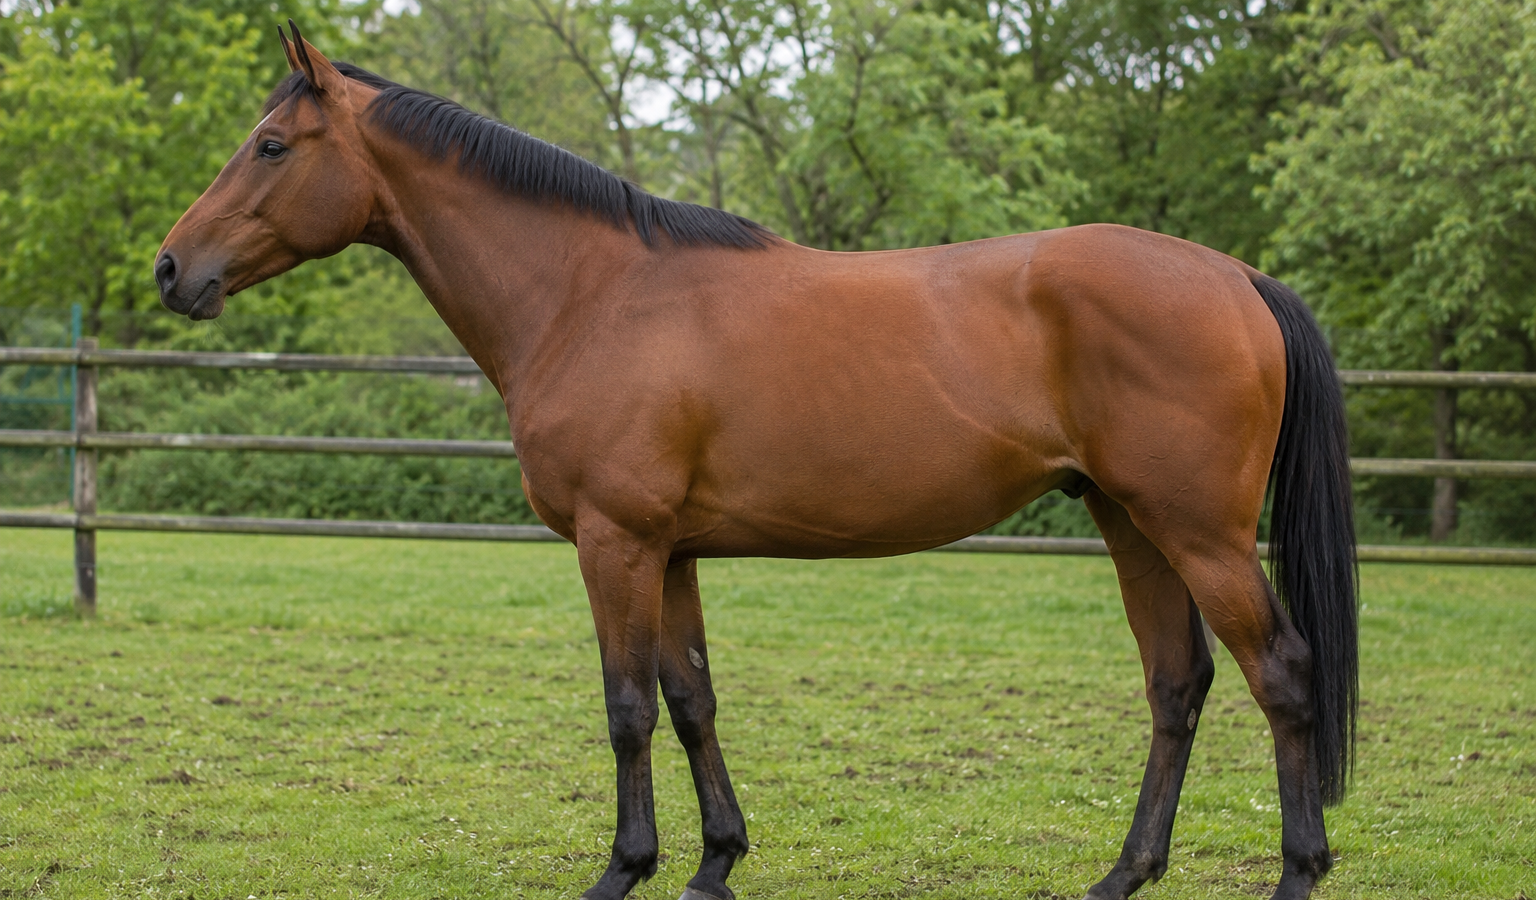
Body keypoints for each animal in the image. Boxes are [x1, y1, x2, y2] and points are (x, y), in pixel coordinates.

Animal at [154, 22, 1357, 900]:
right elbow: (692, 700)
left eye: (270, 146)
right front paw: (713, 866)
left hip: (1198, 532)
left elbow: (627, 708)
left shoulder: (615, 543)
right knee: (1177, 683)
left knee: (1283, 675)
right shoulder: (672, 551)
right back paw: (1122, 875)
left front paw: (623, 871)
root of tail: (1238, 277)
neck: (591, 295)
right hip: (1129, 520)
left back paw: (1295, 876)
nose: (172, 270)